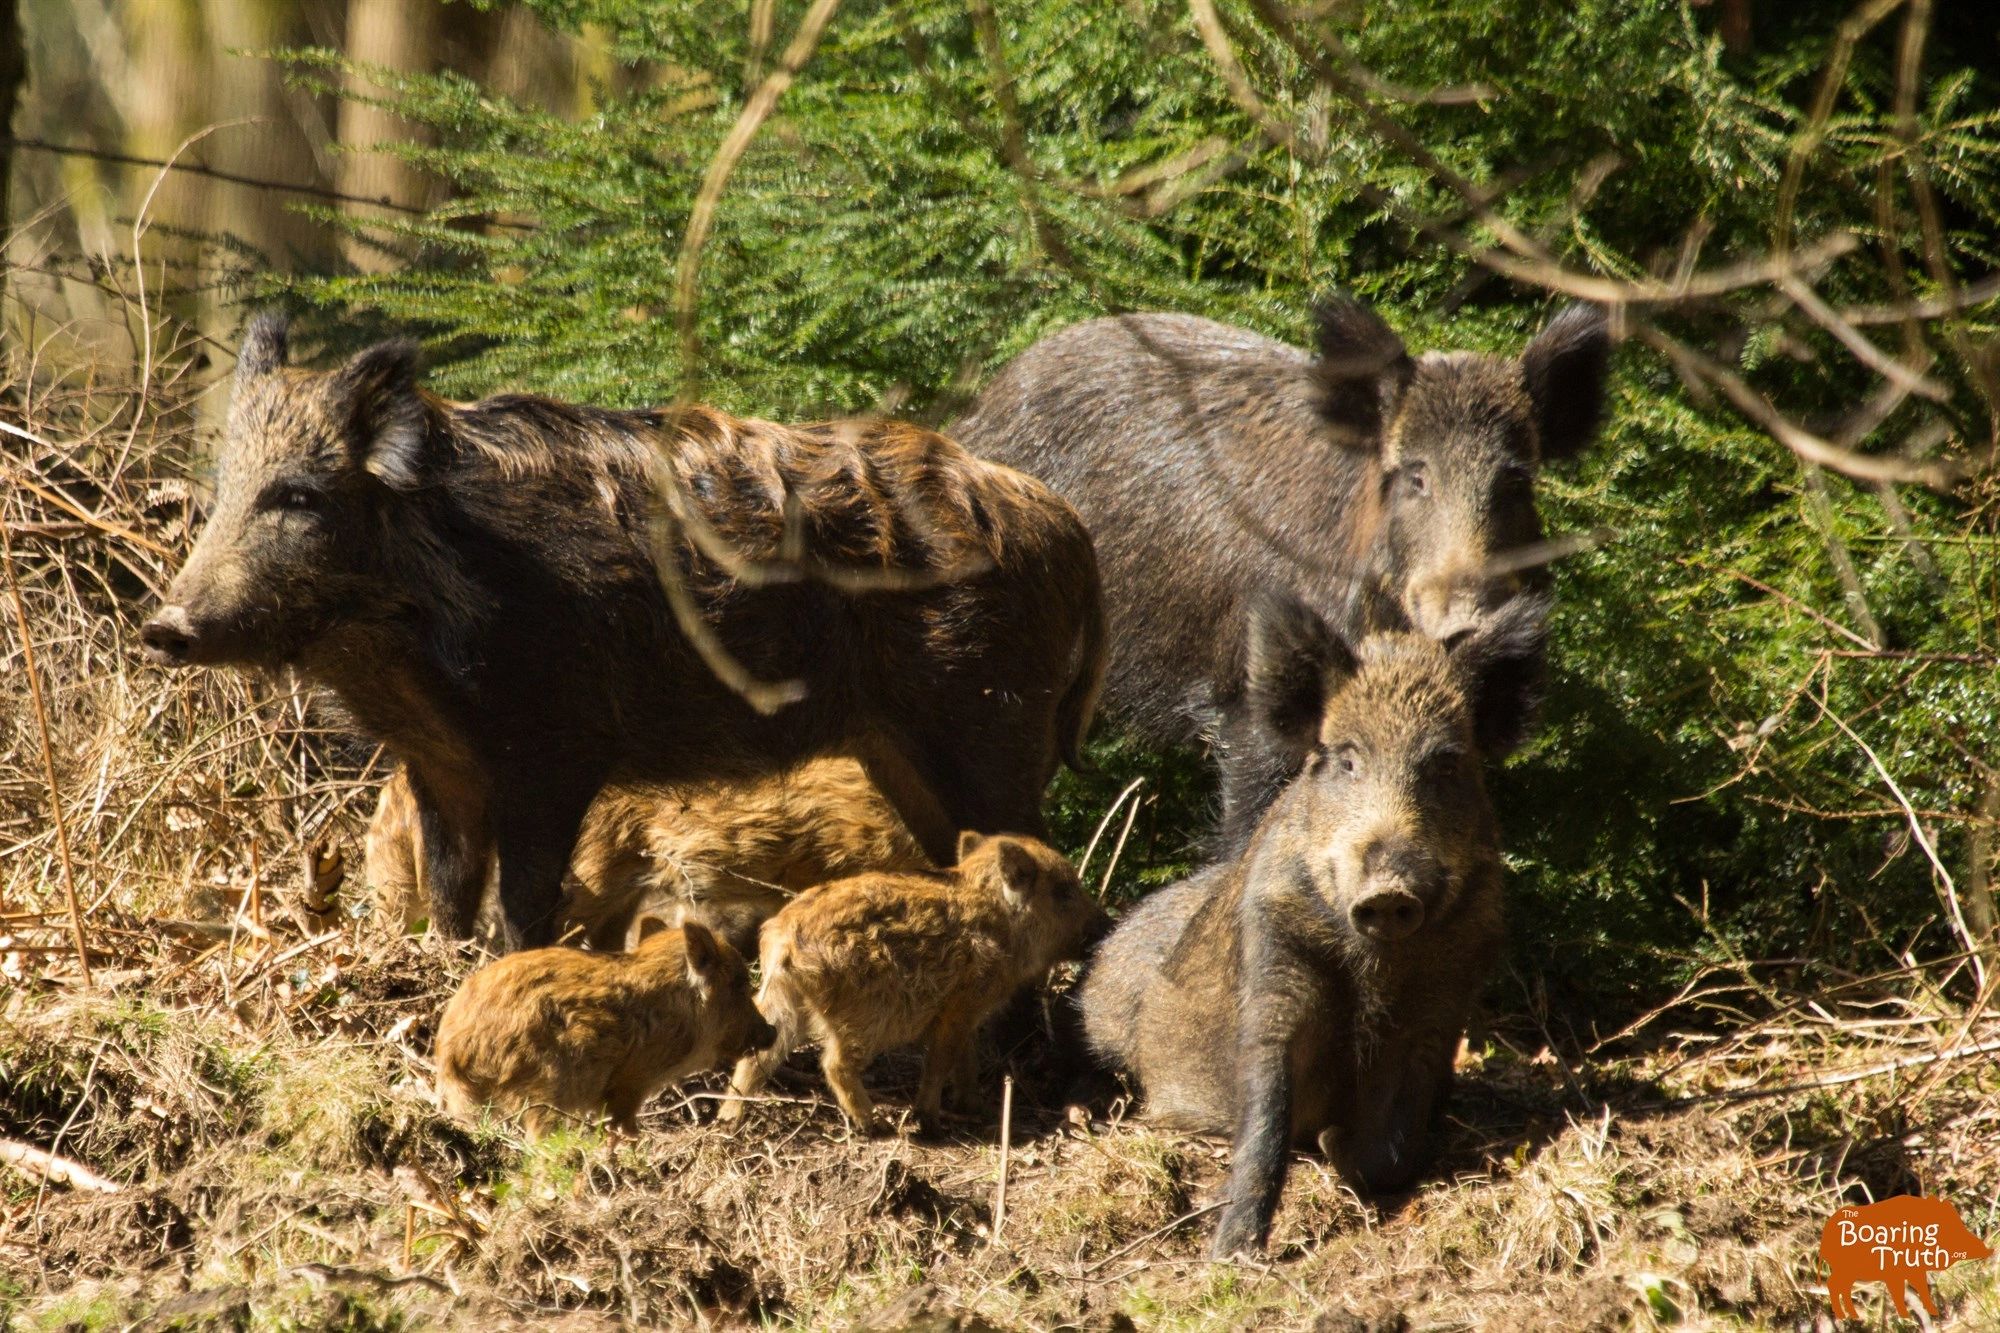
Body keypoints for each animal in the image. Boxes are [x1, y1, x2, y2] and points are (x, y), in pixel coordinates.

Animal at [433, 918, 776, 1136]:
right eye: (739, 984)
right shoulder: (631, 1081)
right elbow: (624, 1125)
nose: (771, 1031)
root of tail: (454, 1052)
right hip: (545, 1087)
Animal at [722, 832, 1107, 1133]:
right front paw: (930, 1122)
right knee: (834, 1063)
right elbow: (941, 1060)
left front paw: (976, 1109)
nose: (1106, 924)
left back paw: (729, 1119)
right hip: (867, 1015)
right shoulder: (960, 1005)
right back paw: (874, 1124)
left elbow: (966, 1059)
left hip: (783, 1004)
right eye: (1063, 891)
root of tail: (784, 939)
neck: (1003, 924)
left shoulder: (967, 1014)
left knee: (758, 1056)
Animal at [1077, 585, 1550, 1257]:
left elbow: (1394, 1143)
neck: (1375, 970)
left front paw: (1337, 1146)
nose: (1388, 890)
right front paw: (1230, 1253)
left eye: (1446, 763)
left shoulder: (1450, 990)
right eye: (1346, 760)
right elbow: (1266, 1112)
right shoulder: (1275, 962)